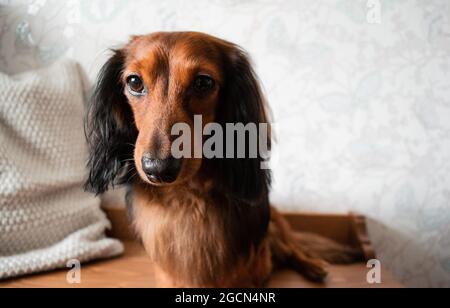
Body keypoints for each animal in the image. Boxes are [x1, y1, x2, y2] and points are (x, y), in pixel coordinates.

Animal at [83, 32, 358, 288]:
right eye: (134, 81)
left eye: (203, 82)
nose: (158, 170)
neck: (189, 198)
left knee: (292, 248)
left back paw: (313, 266)